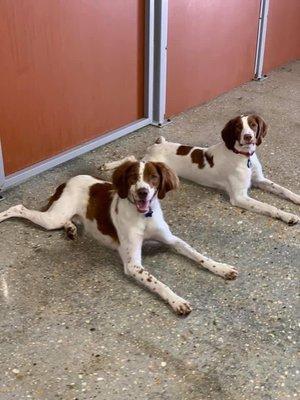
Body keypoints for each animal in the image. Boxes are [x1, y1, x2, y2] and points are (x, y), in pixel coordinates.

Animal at [0, 162, 239, 316]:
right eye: (133, 178)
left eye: (153, 177)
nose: (143, 192)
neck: (144, 216)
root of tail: (66, 182)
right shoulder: (133, 265)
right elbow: (158, 283)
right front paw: (177, 301)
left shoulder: (172, 240)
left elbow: (199, 255)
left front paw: (222, 268)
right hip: (52, 217)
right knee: (18, 208)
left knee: (67, 220)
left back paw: (71, 229)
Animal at [101, 115, 300, 225]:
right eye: (238, 127)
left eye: (253, 125)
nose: (248, 137)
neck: (244, 157)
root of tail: (159, 143)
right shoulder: (240, 197)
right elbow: (269, 206)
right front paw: (287, 215)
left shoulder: (259, 180)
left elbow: (283, 189)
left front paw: (296, 199)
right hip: (152, 164)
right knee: (131, 159)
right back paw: (107, 165)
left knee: (132, 158)